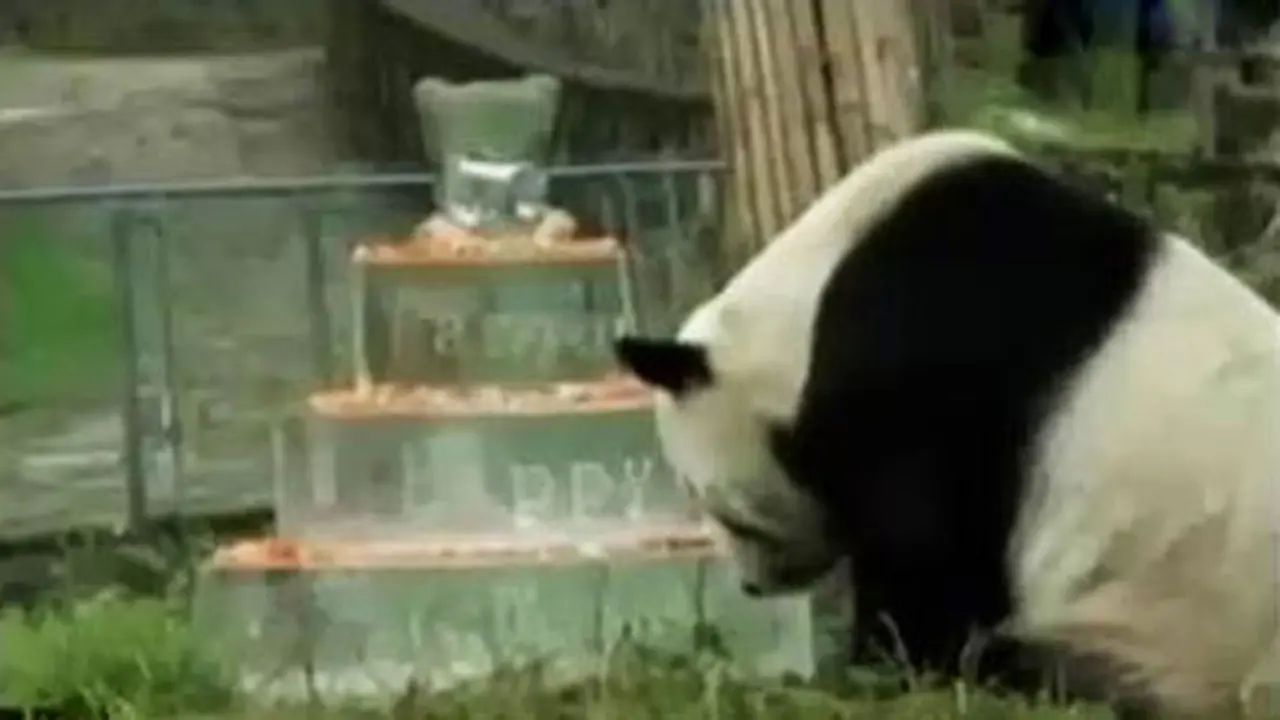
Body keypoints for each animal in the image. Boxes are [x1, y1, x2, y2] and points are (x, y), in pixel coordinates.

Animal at [613, 129, 1280, 718]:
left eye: (714, 503)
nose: (754, 586)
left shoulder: (917, 382)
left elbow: (924, 560)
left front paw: (876, 668)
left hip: (1168, 634)